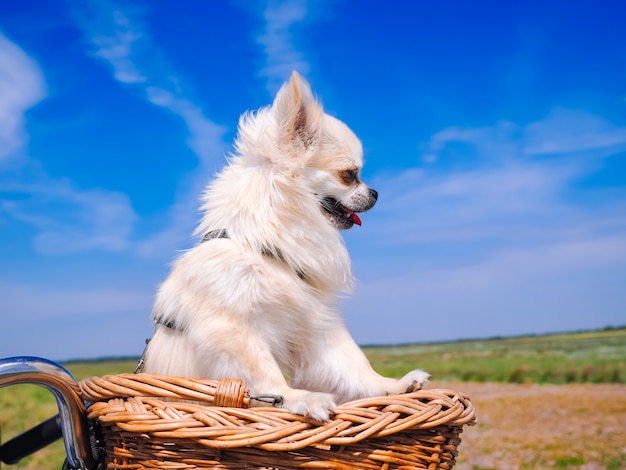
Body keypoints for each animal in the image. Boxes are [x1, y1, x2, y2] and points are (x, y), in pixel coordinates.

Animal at [142, 72, 426, 418]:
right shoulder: (232, 331)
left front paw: (392, 386)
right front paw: (300, 399)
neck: (267, 252)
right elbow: (265, 377)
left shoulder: (316, 324)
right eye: (350, 175)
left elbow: (354, 364)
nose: (375, 192)